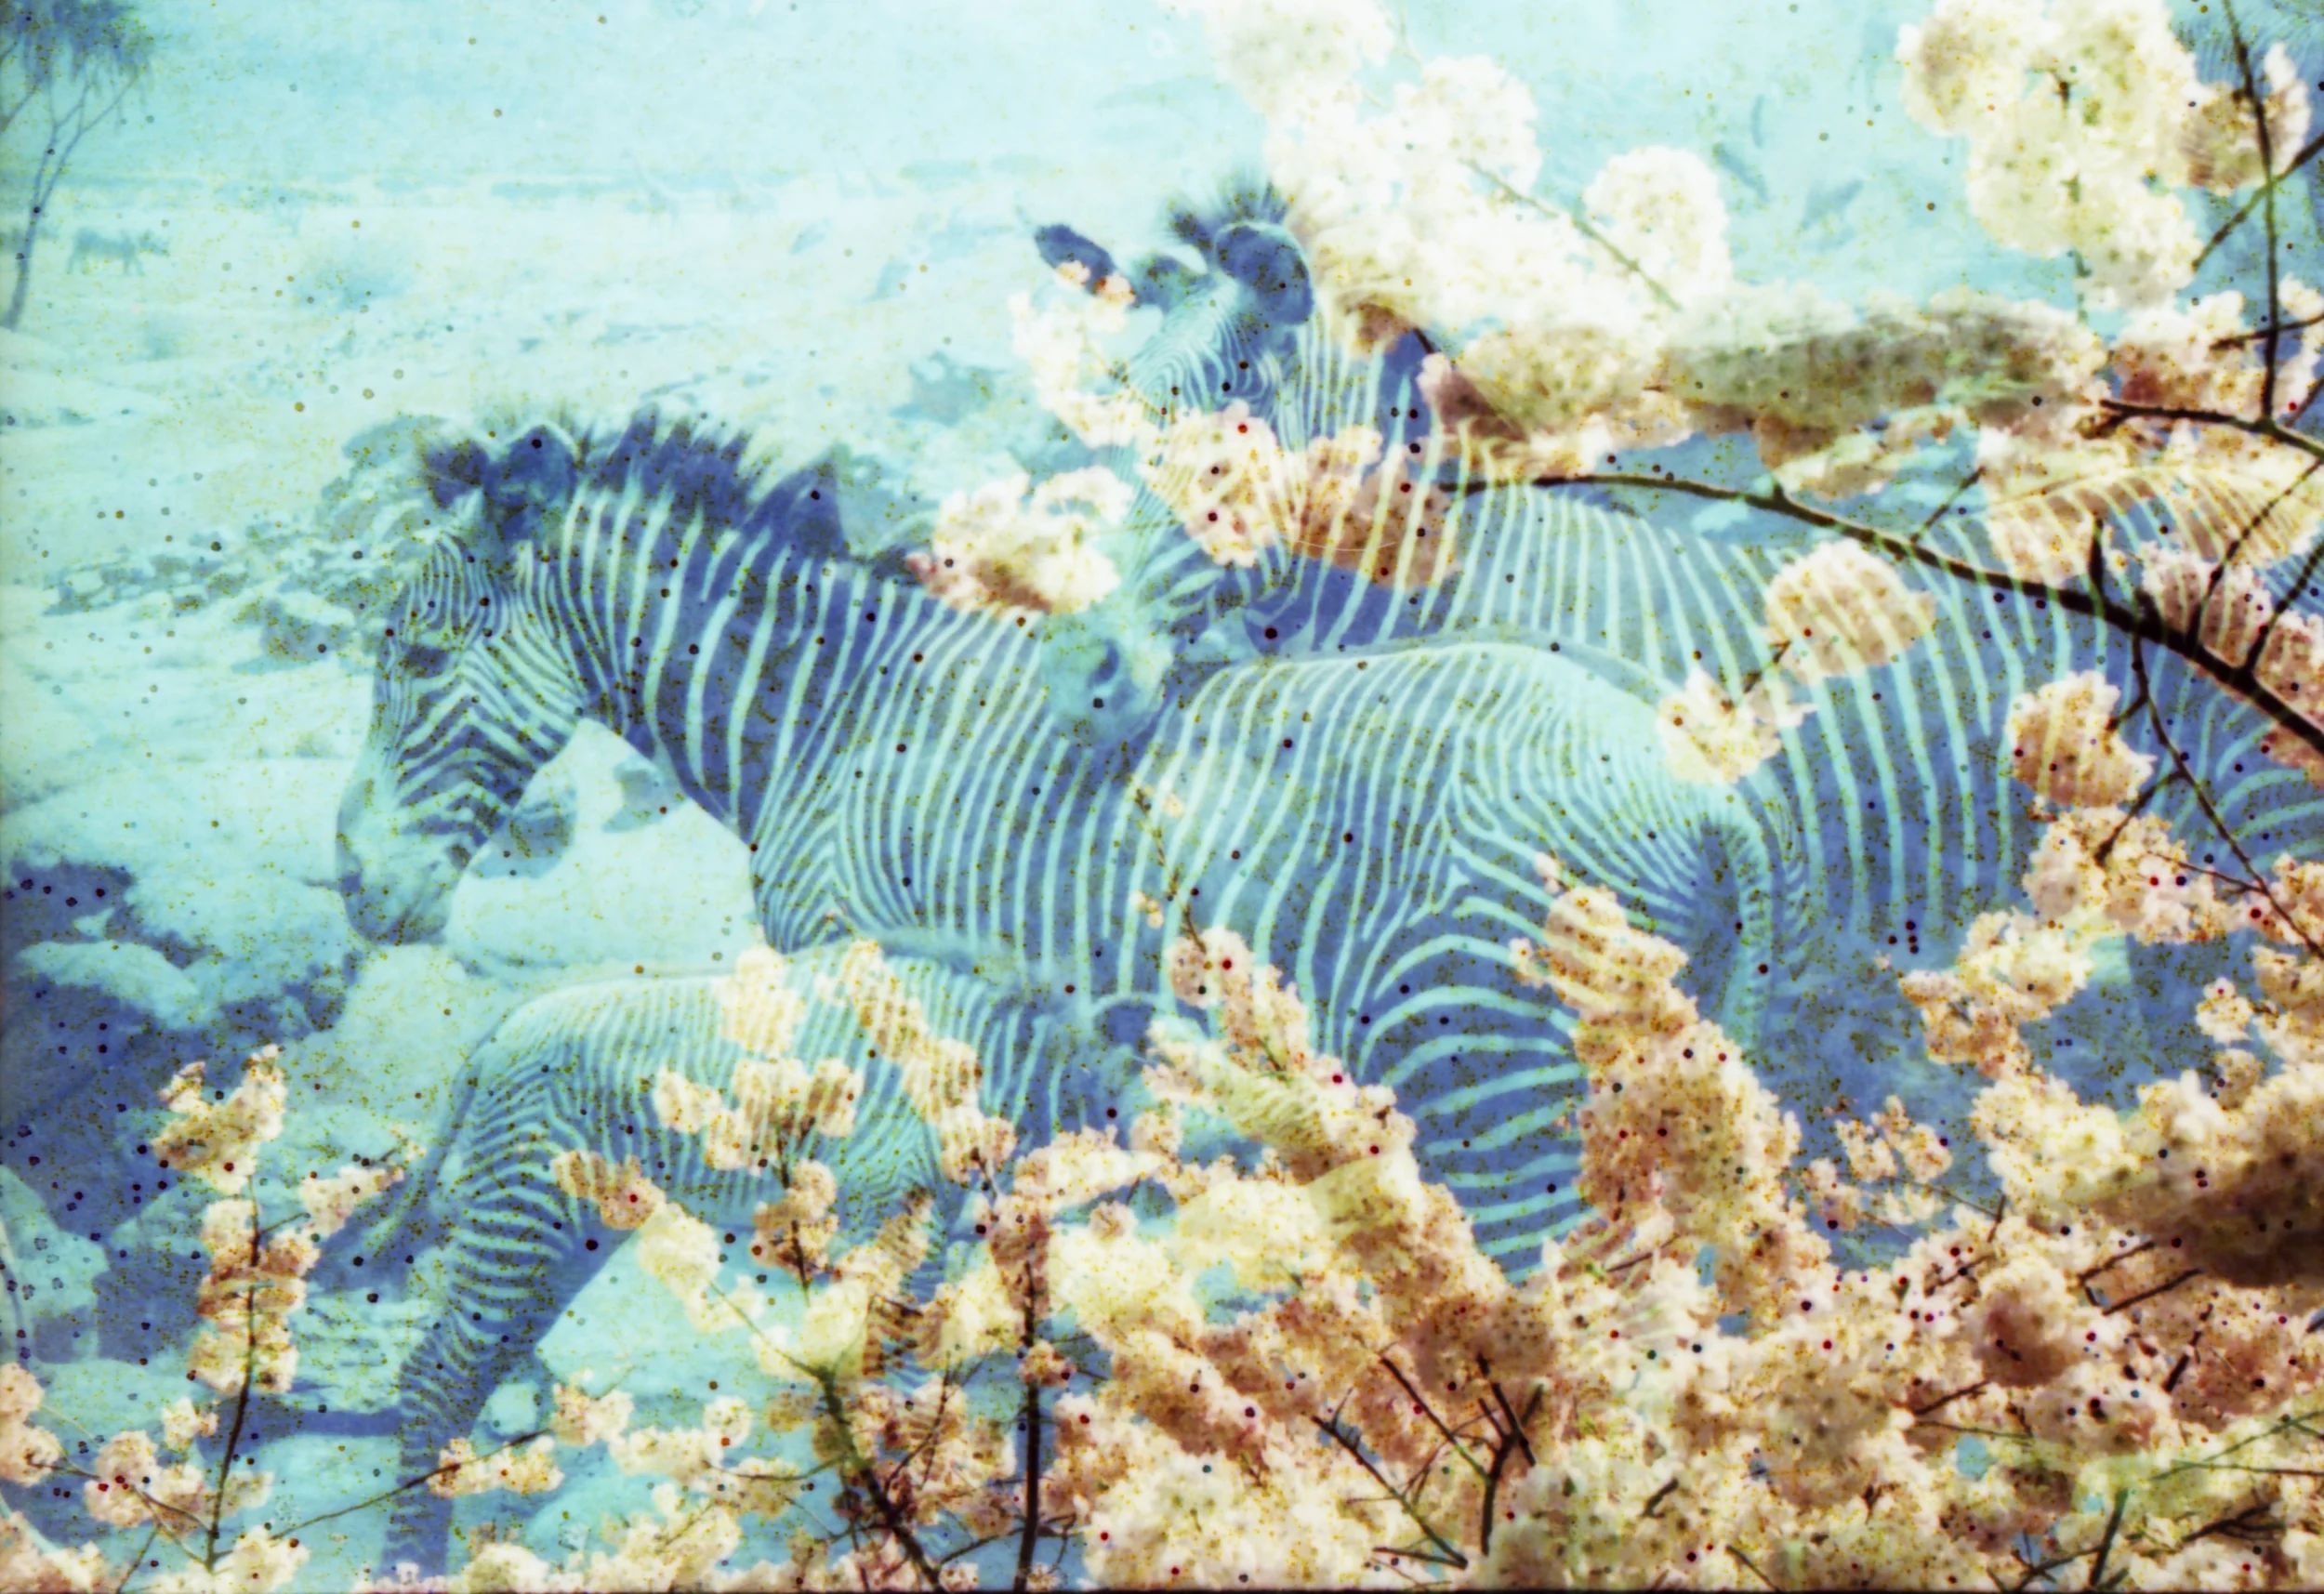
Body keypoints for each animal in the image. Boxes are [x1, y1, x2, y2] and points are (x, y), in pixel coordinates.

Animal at [335, 406, 1783, 1271]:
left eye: (413, 658)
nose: (355, 889)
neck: (833, 717)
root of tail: (1702, 794)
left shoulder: (874, 989)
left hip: (1499, 1078)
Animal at [364, 946, 1100, 1573]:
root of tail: (503, 1027)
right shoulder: (888, 1207)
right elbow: (890, 1372)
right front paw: (905, 1524)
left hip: (560, 1237)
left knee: (449, 1366)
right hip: (525, 1213)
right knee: (439, 1375)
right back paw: (412, 1561)